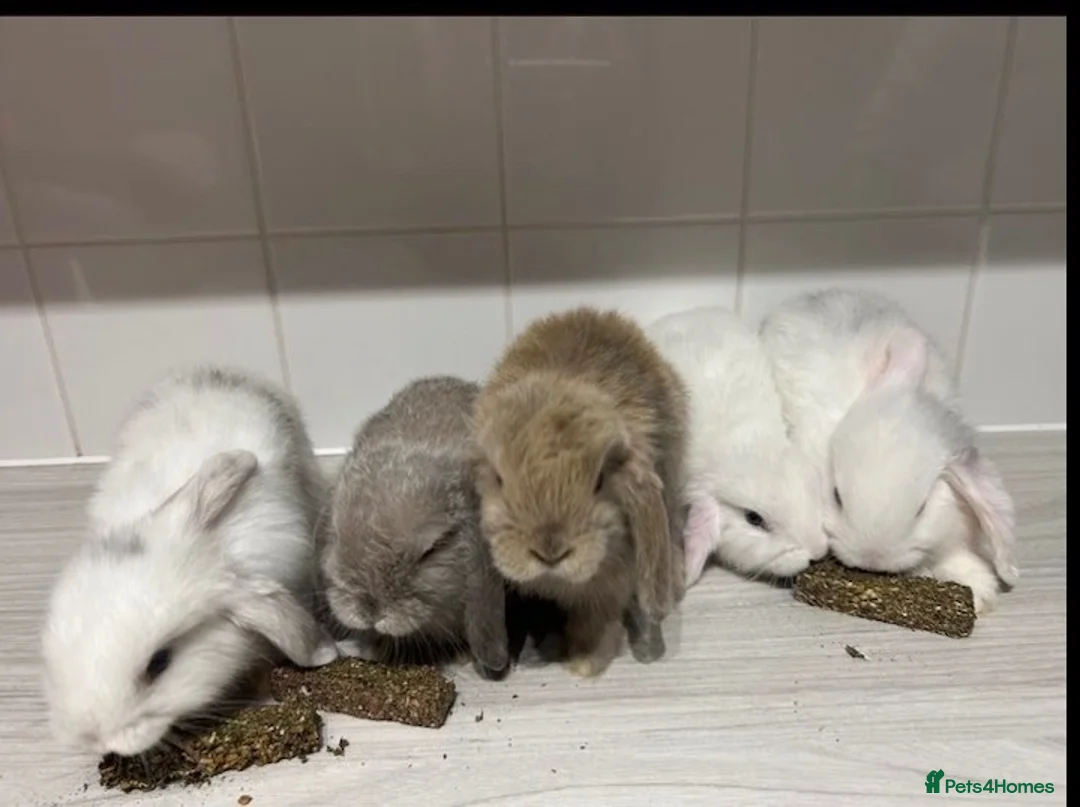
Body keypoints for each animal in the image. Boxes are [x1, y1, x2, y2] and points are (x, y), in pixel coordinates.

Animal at [471, 307, 688, 678]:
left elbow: (596, 619)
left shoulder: (611, 584)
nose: (550, 551)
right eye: (499, 479)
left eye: (599, 482)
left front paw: (585, 662)